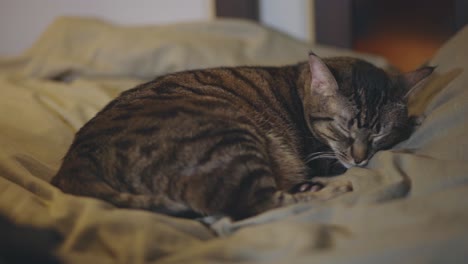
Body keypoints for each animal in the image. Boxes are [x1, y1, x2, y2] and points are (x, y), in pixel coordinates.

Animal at [50, 53, 432, 219]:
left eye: (379, 133)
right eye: (343, 126)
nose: (361, 157)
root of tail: (74, 164)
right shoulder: (322, 158)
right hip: (231, 138)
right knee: (252, 206)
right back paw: (330, 192)